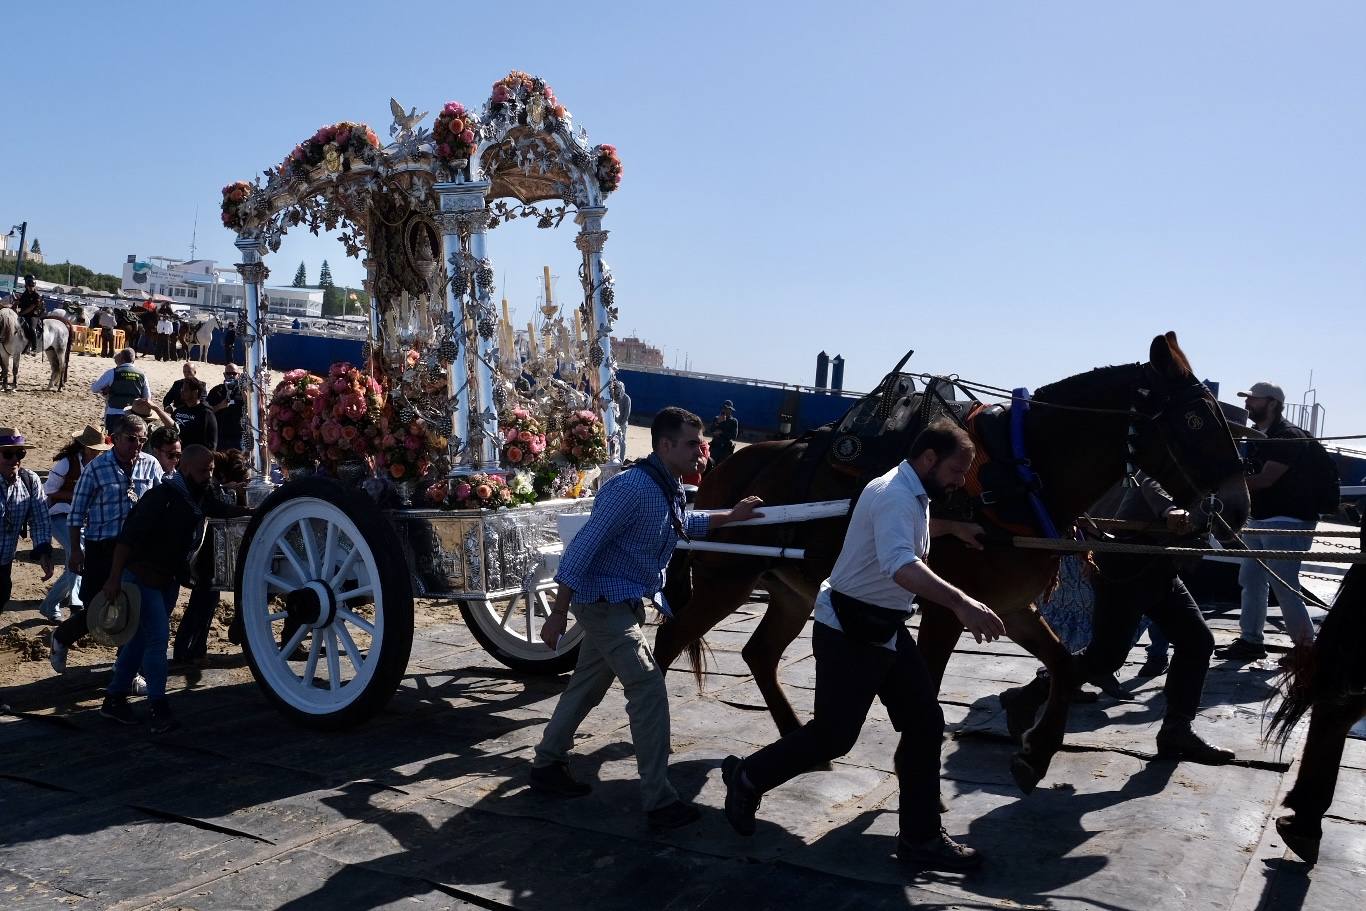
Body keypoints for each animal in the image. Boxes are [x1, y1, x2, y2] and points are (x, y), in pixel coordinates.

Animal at [658, 333, 1251, 792]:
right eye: (1195, 419)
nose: (1239, 505)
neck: (1016, 474)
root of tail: (719, 474)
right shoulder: (946, 610)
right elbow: (931, 690)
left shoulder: (1009, 606)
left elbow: (1063, 664)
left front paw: (1035, 754)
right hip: (726, 580)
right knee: (668, 643)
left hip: (789, 586)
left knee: (758, 653)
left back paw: (800, 739)